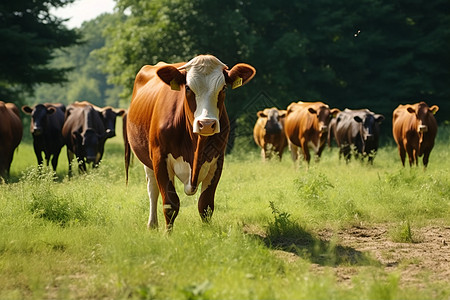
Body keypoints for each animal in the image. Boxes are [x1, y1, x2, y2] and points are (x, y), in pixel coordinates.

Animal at [125, 55, 255, 231]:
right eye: (187, 88)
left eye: (223, 88)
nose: (206, 124)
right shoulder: (159, 158)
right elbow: (170, 204)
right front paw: (168, 234)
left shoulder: (217, 160)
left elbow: (205, 205)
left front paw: (207, 232)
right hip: (147, 160)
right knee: (152, 189)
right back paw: (152, 225)